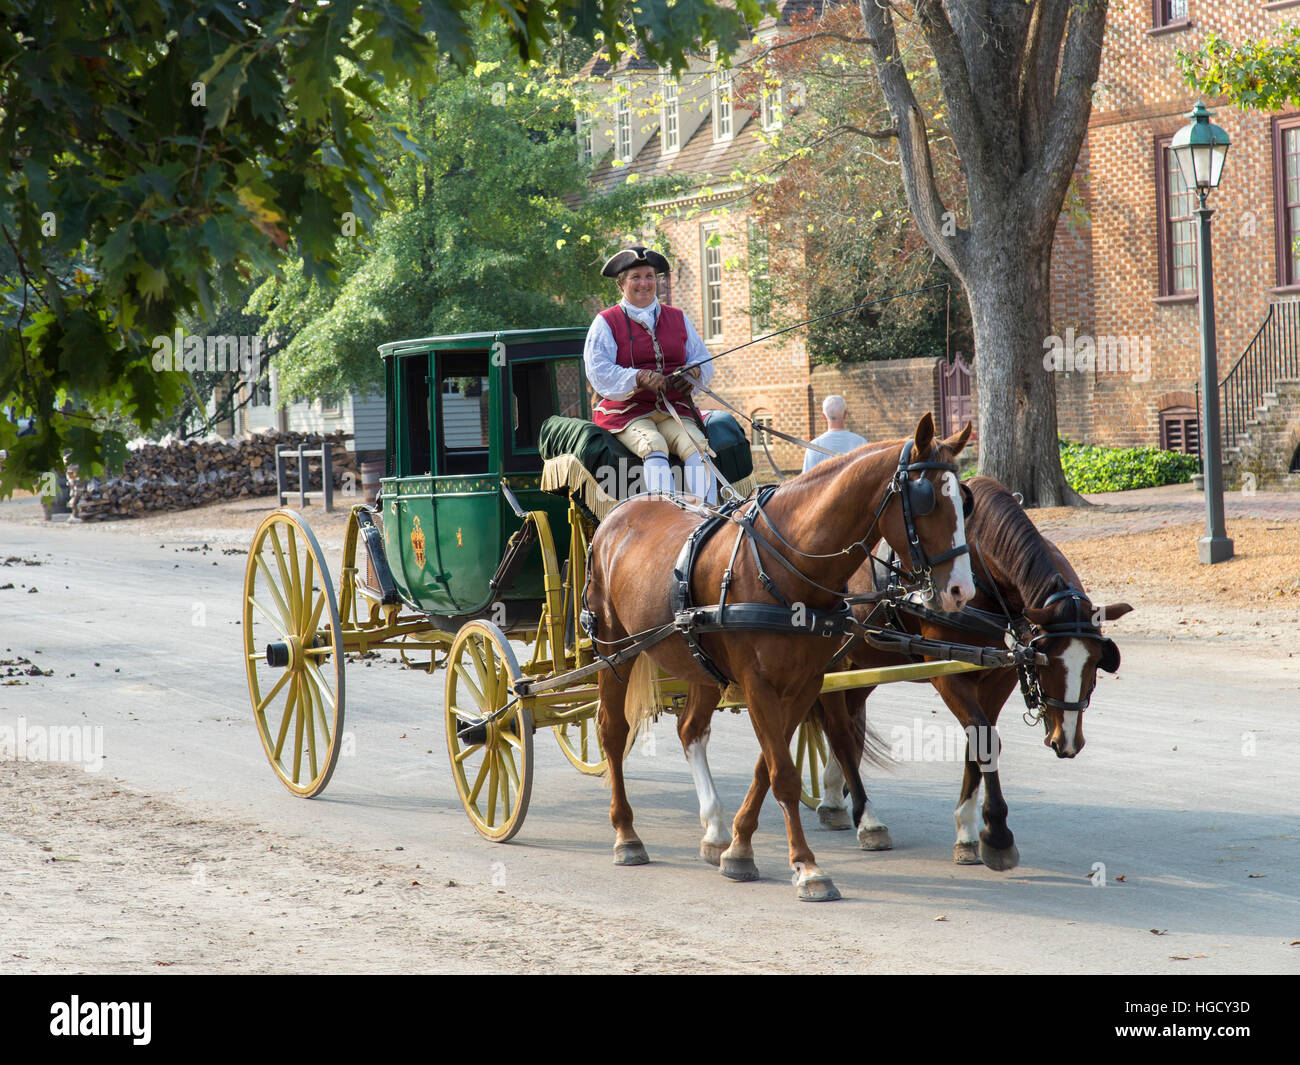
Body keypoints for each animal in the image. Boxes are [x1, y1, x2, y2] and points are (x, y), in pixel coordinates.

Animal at [585, 413, 972, 899]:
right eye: (925, 501)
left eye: (964, 502)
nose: (962, 591)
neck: (787, 564)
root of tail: (619, 513)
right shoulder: (758, 684)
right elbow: (784, 775)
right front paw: (807, 866)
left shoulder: (804, 683)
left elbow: (767, 768)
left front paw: (738, 848)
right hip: (614, 650)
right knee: (612, 731)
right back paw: (626, 834)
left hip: (697, 661)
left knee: (690, 729)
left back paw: (714, 831)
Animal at [816, 478, 1133, 868]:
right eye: (1045, 662)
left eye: (1095, 664)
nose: (1067, 741)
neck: (982, 577)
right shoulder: (947, 674)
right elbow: (985, 738)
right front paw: (996, 833)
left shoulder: (997, 675)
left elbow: (978, 741)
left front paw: (968, 832)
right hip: (832, 662)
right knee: (839, 729)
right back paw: (867, 819)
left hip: (864, 661)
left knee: (850, 720)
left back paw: (833, 795)